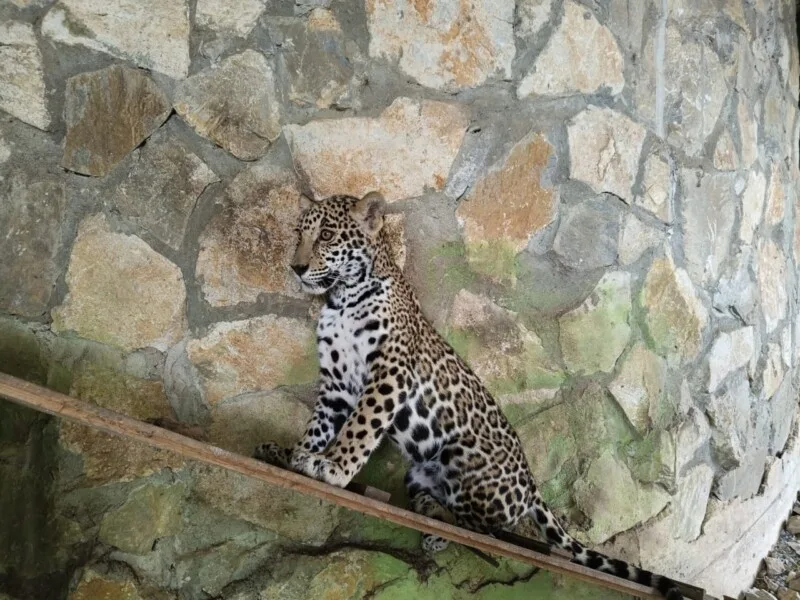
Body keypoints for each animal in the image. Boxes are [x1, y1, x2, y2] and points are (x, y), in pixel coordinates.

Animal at [254, 192, 683, 600]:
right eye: (299, 234)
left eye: (327, 235)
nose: (296, 267)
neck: (342, 298)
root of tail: (532, 485)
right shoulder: (336, 383)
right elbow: (319, 427)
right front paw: (294, 455)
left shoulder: (389, 374)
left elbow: (360, 427)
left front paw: (333, 467)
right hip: (417, 472)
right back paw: (431, 518)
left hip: (461, 458)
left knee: (483, 528)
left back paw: (442, 526)